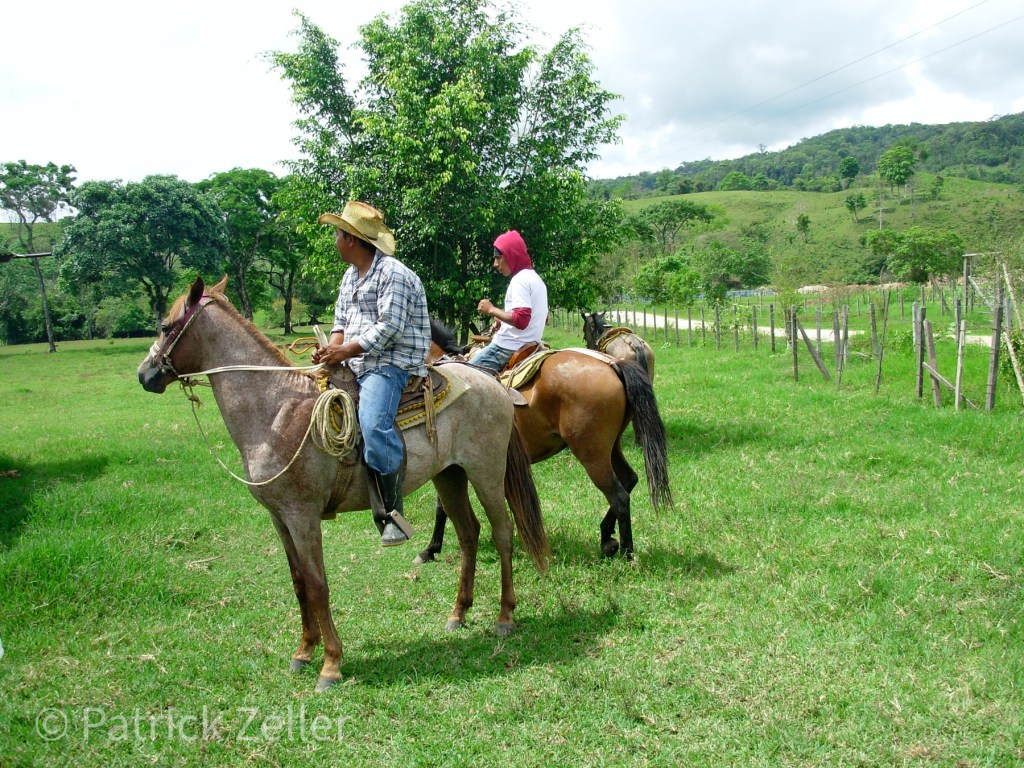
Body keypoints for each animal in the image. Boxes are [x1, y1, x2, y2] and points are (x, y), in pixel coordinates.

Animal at [137, 277, 549, 692]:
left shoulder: (302, 516)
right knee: (468, 533)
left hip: (486, 473)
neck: (277, 410)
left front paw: (330, 664)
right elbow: (299, 582)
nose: (144, 374)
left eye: (165, 327)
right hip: (449, 476)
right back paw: (458, 613)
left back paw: (505, 617)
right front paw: (304, 651)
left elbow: (317, 584)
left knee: (502, 532)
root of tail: (490, 381)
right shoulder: (279, 518)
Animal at [421, 320, 673, 561]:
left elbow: (442, 505)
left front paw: (431, 548)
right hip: (611, 448)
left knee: (619, 496)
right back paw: (607, 539)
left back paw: (626, 553)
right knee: (629, 479)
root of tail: (614, 365)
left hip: (592, 455)